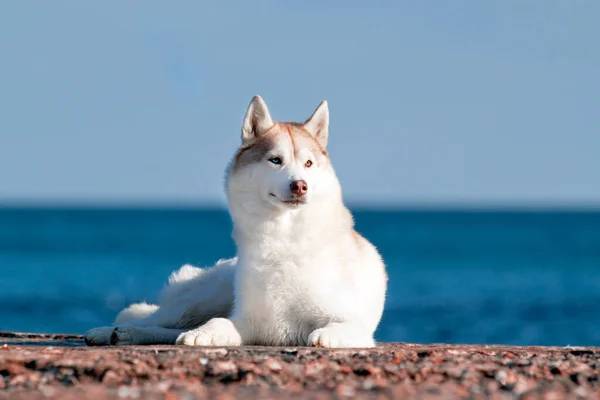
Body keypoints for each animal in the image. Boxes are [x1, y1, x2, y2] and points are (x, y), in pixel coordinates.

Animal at [86, 96, 392, 346]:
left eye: (308, 164)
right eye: (275, 160)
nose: (300, 186)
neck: (284, 241)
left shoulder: (352, 322)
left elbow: (339, 326)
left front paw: (326, 335)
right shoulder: (247, 321)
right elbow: (219, 323)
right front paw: (203, 334)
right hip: (200, 301)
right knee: (154, 319)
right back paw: (111, 332)